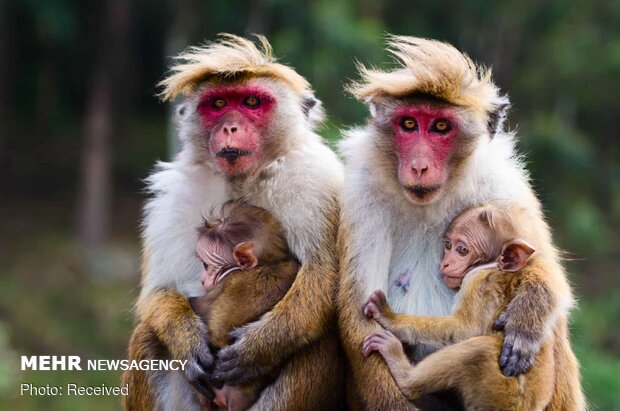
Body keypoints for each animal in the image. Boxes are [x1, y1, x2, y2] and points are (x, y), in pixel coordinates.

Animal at [340, 37, 576, 410]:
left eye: (440, 127)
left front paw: (527, 319)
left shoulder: (502, 183)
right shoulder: (362, 194)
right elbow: (359, 313)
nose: (419, 166)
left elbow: (544, 270)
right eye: (409, 125)